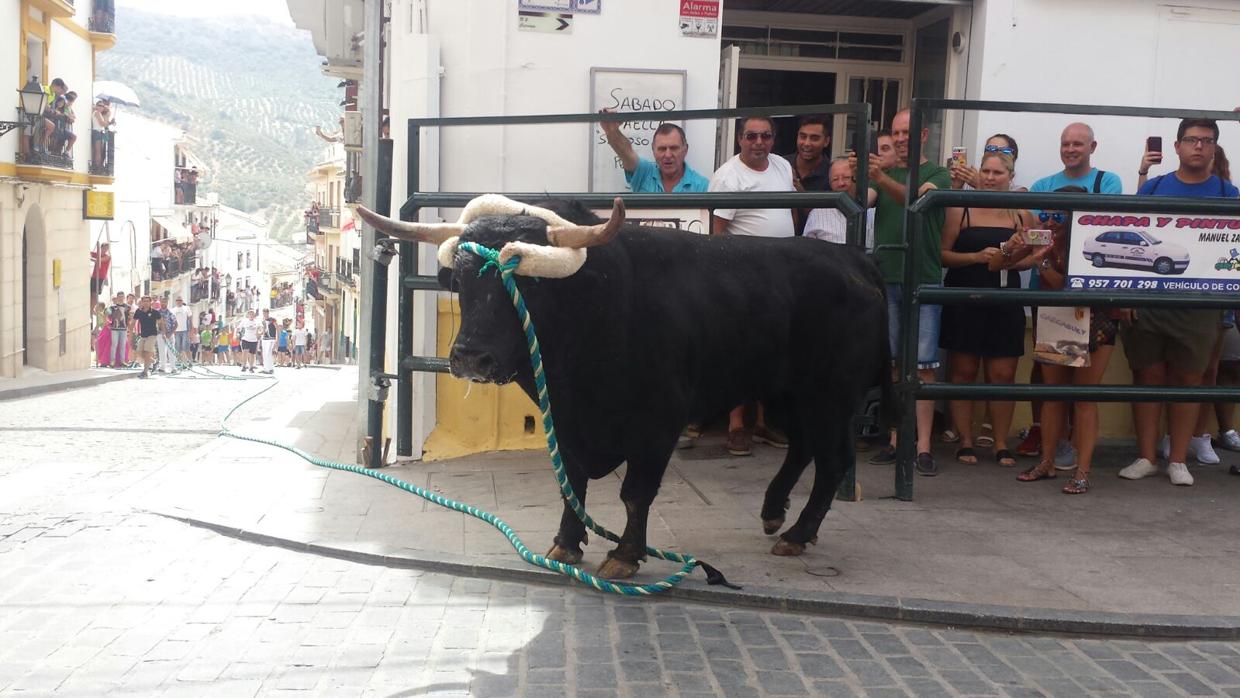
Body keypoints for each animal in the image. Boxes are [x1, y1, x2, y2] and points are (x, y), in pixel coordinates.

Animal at [436, 200, 892, 580]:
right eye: (459, 280)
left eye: (530, 283)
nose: (471, 357)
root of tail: (850, 257)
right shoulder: (566, 422)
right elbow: (572, 484)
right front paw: (565, 545)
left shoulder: (658, 420)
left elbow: (635, 492)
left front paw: (624, 555)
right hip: (786, 395)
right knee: (802, 446)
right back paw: (774, 514)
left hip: (831, 398)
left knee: (832, 461)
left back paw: (797, 534)